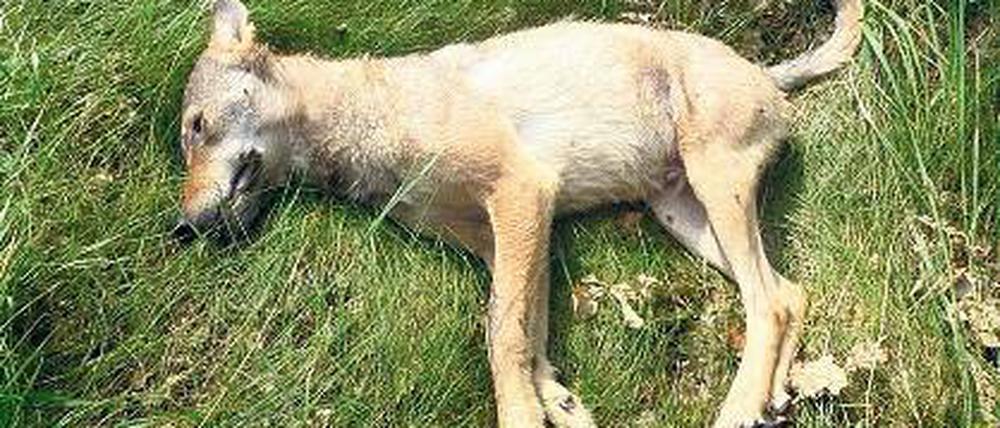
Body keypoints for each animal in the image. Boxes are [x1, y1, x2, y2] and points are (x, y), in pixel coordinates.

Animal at [173, 0, 862, 426]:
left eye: (196, 127)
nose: (181, 230)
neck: (361, 119)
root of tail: (767, 73)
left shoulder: (521, 194)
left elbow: (502, 336)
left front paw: (522, 412)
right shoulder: (506, 236)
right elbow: (525, 332)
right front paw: (556, 398)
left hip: (714, 188)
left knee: (767, 301)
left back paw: (742, 406)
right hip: (684, 216)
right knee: (787, 293)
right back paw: (774, 394)